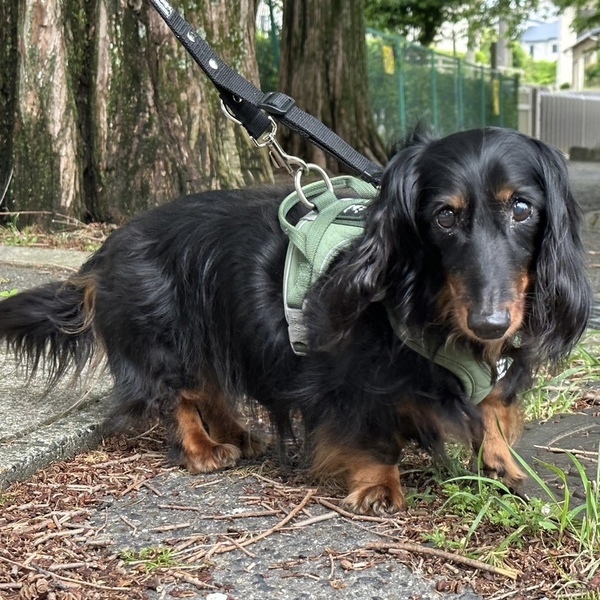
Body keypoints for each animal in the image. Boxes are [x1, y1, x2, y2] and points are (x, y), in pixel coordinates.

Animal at [0, 127, 591, 515]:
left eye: (522, 209)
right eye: (444, 215)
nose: (490, 323)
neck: (436, 304)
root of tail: (105, 252)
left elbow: (491, 412)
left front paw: (505, 467)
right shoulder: (351, 381)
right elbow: (374, 435)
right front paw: (380, 487)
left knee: (212, 388)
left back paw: (241, 436)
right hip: (171, 339)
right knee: (182, 398)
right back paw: (203, 450)